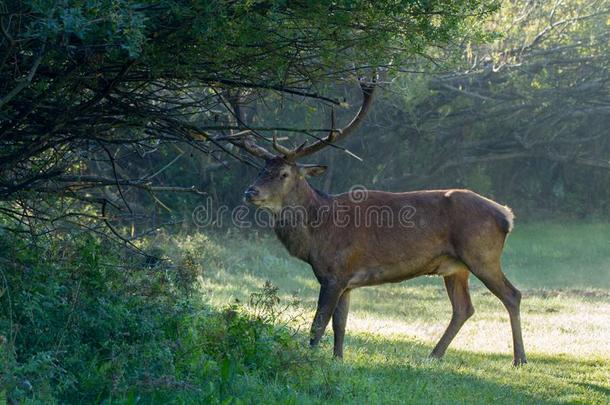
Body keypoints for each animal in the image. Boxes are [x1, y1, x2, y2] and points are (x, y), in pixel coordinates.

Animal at [235, 74, 524, 364]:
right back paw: (433, 355)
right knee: (464, 307)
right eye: (261, 169)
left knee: (512, 295)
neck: (317, 234)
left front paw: (309, 359)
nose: (250, 192)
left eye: (283, 173)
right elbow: (340, 324)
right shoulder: (345, 281)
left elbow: (318, 324)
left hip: (482, 254)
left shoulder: (335, 272)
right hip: (455, 266)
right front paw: (338, 360)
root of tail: (506, 215)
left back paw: (518, 358)